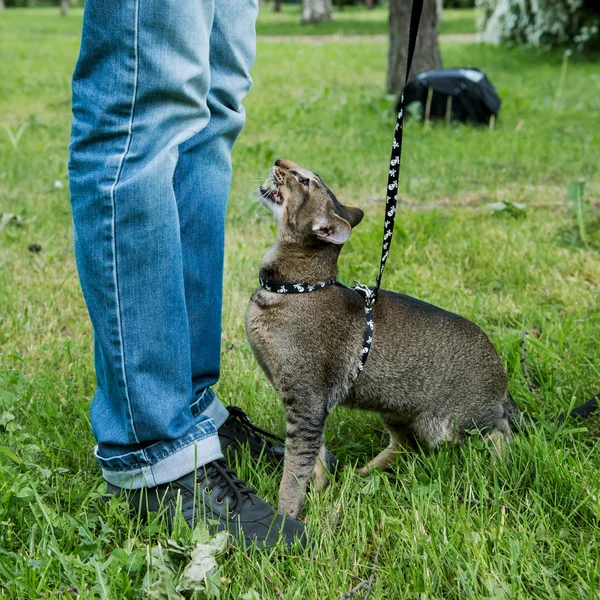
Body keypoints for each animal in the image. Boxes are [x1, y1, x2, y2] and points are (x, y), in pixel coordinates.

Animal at [246, 159, 596, 520]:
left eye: (304, 181)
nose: (280, 161)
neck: (296, 288)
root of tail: (502, 375)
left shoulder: (307, 402)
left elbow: (294, 469)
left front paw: (283, 517)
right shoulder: (307, 407)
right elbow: (315, 458)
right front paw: (318, 490)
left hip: (450, 424)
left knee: (500, 430)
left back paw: (500, 468)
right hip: (394, 407)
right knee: (406, 446)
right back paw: (363, 474)